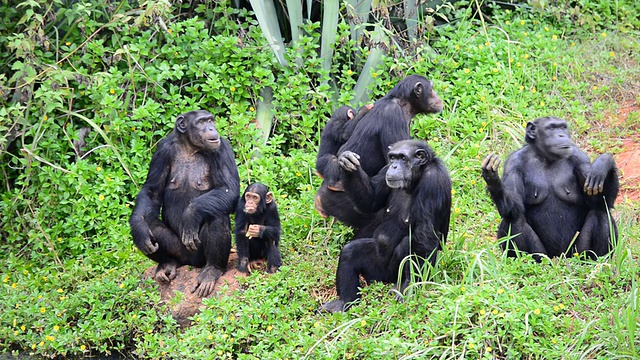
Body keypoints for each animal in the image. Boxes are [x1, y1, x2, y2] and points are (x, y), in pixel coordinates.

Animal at [129, 109, 241, 298]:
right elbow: (152, 191)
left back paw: (211, 270)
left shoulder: (222, 149)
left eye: (210, 120)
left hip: (199, 255)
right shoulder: (162, 151)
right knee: (150, 223)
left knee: (217, 216)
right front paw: (139, 229)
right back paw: (166, 264)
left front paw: (191, 214)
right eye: (201, 122)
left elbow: (229, 189)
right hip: (180, 253)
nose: (211, 128)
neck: (191, 148)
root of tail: (191, 263)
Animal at [322, 139, 452, 314]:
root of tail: (382, 280)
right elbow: (371, 200)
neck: (416, 178)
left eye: (402, 158)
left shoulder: (433, 182)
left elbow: (425, 236)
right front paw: (348, 163)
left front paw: (409, 287)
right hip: (376, 271)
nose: (394, 166)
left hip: (393, 273)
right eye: (392, 158)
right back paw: (344, 303)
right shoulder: (384, 171)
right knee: (350, 252)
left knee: (409, 243)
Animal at [482, 116, 616, 260]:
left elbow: (599, 200)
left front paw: (604, 163)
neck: (545, 157)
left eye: (563, 127)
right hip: (542, 256)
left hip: (578, 253)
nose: (561, 135)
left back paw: (599, 260)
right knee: (515, 219)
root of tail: (559, 257)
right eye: (551, 128)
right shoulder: (513, 164)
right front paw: (493, 180)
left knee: (600, 212)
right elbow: (514, 207)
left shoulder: (581, 159)